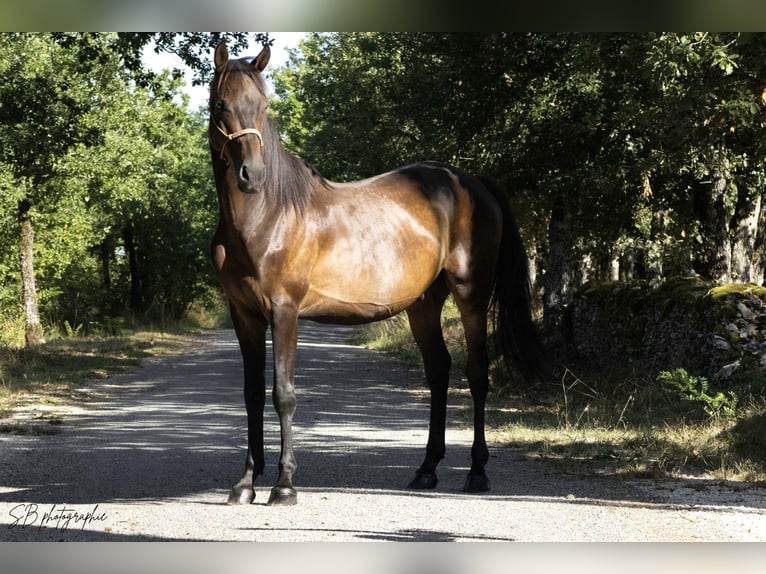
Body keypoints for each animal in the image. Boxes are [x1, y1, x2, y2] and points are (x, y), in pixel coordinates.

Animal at [207, 42, 548, 506]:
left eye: (262, 105)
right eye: (220, 104)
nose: (252, 176)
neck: (266, 216)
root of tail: (472, 182)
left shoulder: (284, 311)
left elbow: (283, 395)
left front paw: (284, 485)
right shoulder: (244, 315)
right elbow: (252, 396)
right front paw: (245, 483)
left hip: (472, 296)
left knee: (477, 374)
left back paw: (477, 473)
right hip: (424, 304)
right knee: (438, 370)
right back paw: (426, 470)